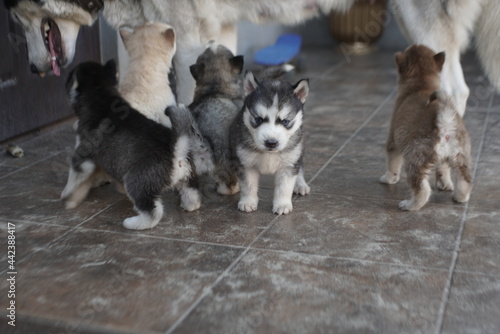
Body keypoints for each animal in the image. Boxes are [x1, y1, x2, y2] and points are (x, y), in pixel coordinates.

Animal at [62, 60, 201, 230]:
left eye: (69, 78)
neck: (101, 95)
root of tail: (176, 149)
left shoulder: (82, 157)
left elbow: (74, 179)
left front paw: (68, 198)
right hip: (189, 178)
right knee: (192, 195)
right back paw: (188, 206)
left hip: (137, 183)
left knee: (153, 212)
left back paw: (133, 223)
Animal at [229, 72, 310, 215]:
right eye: (258, 119)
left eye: (285, 121)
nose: (271, 143)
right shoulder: (246, 164)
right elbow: (248, 185)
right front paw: (248, 201)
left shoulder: (288, 164)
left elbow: (284, 187)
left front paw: (282, 204)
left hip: (298, 151)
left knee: (299, 167)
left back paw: (300, 184)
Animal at [378, 44, 472, 211]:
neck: (420, 83)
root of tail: (445, 124)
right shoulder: (444, 160)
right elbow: (443, 170)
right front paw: (445, 184)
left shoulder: (393, 141)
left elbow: (392, 164)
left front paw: (388, 178)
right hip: (461, 157)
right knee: (465, 180)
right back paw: (460, 198)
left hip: (414, 160)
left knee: (422, 189)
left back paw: (410, 205)